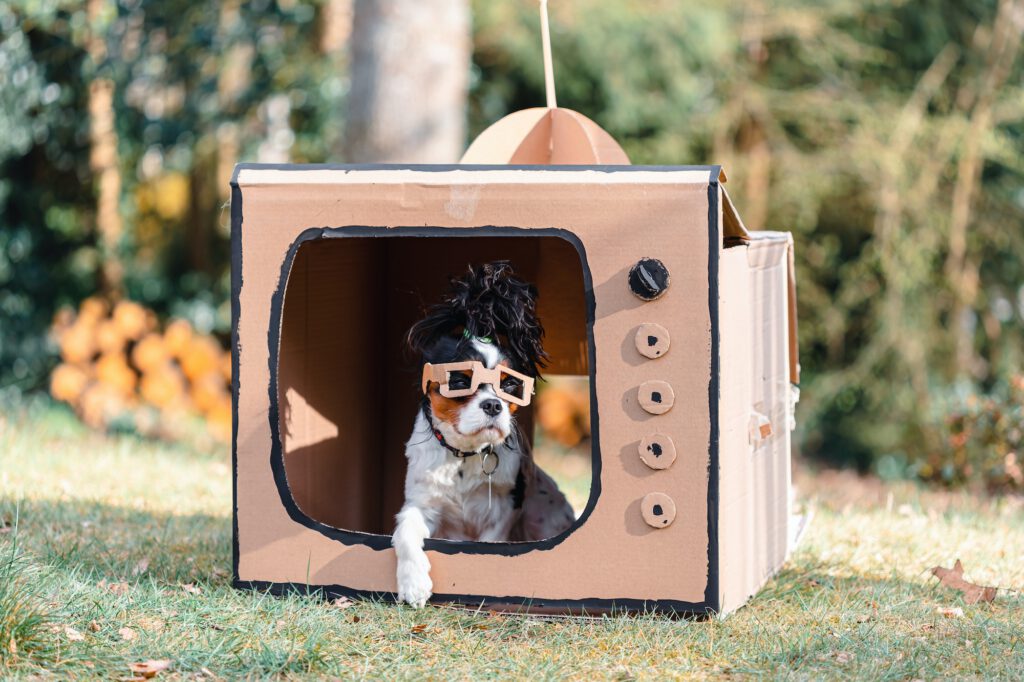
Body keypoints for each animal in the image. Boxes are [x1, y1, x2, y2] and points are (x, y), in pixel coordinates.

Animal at [393, 260, 577, 606]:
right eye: (460, 381)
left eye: (510, 384)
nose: (493, 404)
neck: (465, 455)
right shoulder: (422, 503)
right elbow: (405, 532)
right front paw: (413, 584)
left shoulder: (502, 512)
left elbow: (491, 541)